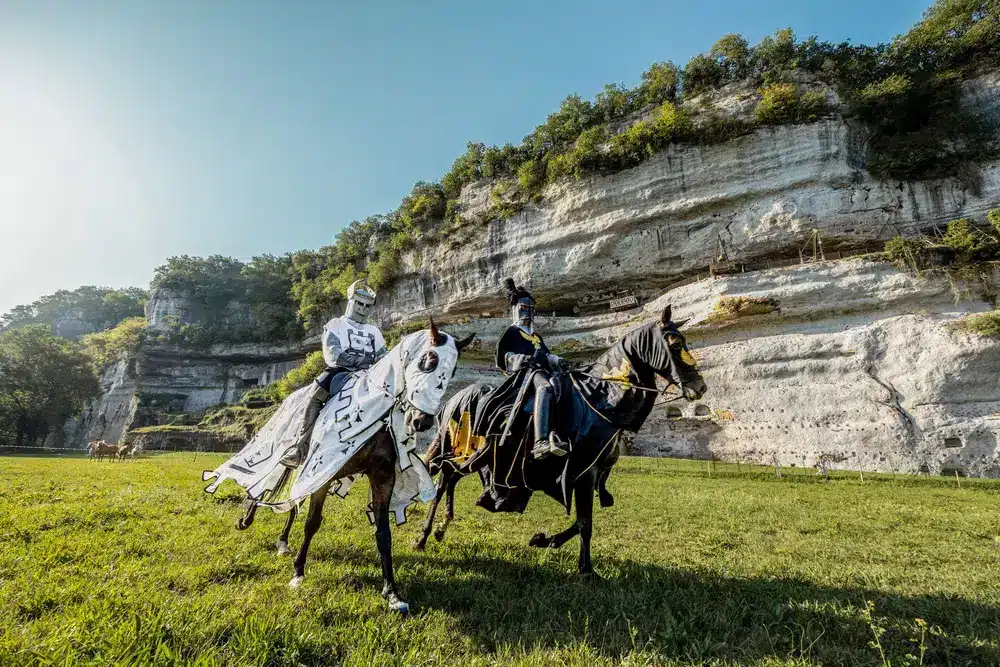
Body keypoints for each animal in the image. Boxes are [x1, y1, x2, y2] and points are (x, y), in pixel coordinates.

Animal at [202, 320, 472, 612]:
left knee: (292, 501)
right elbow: (312, 523)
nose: (422, 421)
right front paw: (298, 573)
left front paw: (392, 593)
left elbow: (383, 533)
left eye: (453, 370)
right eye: (428, 361)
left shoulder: (381, 476)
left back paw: (283, 542)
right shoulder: (324, 471)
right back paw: (246, 520)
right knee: (263, 483)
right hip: (288, 454)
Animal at [418, 306, 708, 576]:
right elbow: (585, 522)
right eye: (675, 344)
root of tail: (455, 399)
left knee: (449, 478)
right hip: (462, 452)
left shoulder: (589, 473)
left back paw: (441, 530)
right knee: (442, 480)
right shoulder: (583, 473)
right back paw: (423, 536)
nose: (700, 388)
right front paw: (586, 569)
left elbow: (580, 522)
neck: (599, 400)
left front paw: (545, 541)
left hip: (473, 458)